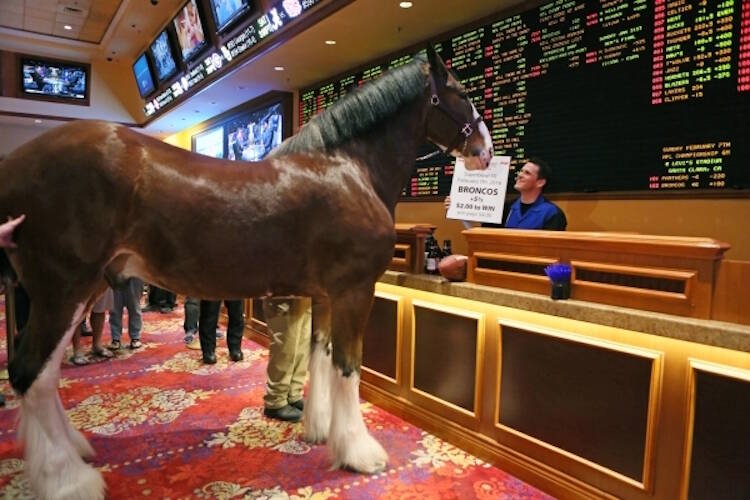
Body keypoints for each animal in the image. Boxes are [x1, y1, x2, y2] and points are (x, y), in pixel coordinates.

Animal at [0, 47, 494, 500]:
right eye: (461, 92)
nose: (486, 152)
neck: (349, 171)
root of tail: (16, 163)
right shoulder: (355, 291)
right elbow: (347, 367)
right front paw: (359, 452)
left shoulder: (325, 295)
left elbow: (319, 355)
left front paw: (320, 430)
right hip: (64, 289)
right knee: (29, 373)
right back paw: (68, 480)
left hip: (81, 289)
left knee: (43, 375)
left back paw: (75, 451)